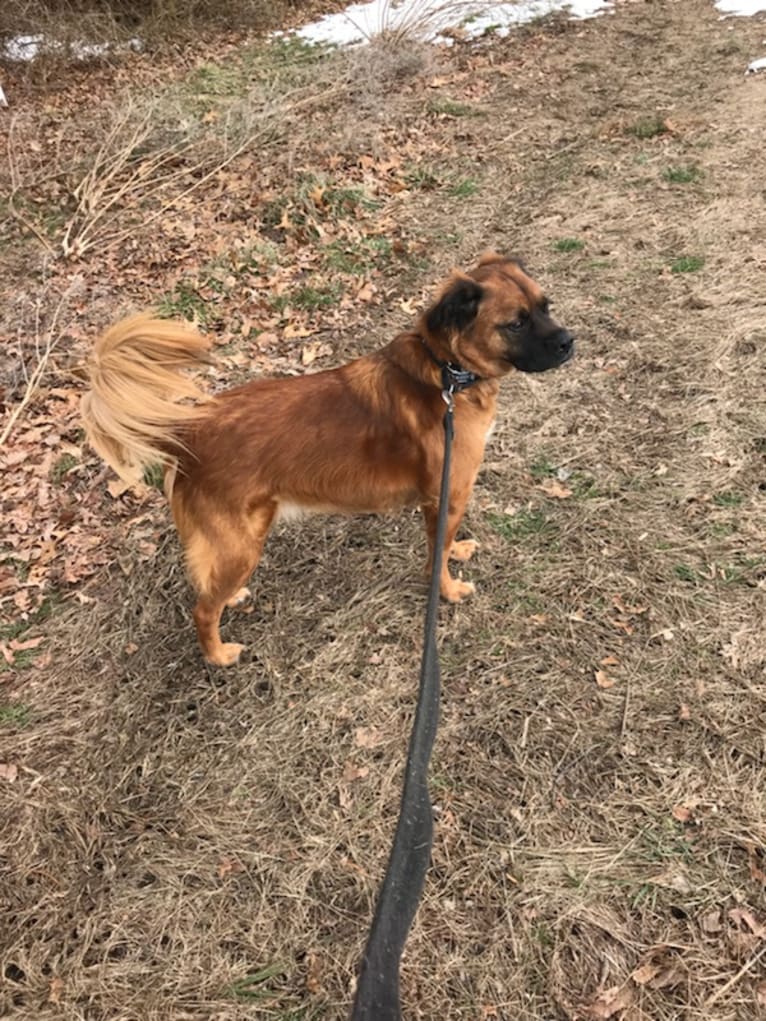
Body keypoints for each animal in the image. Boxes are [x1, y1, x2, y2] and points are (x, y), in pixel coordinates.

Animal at [83, 255, 576, 665]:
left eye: (546, 306)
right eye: (516, 323)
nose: (570, 342)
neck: (447, 372)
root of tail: (186, 434)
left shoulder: (442, 504)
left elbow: (444, 542)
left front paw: (455, 551)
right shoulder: (446, 495)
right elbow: (435, 561)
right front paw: (450, 591)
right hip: (242, 544)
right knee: (202, 610)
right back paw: (218, 655)